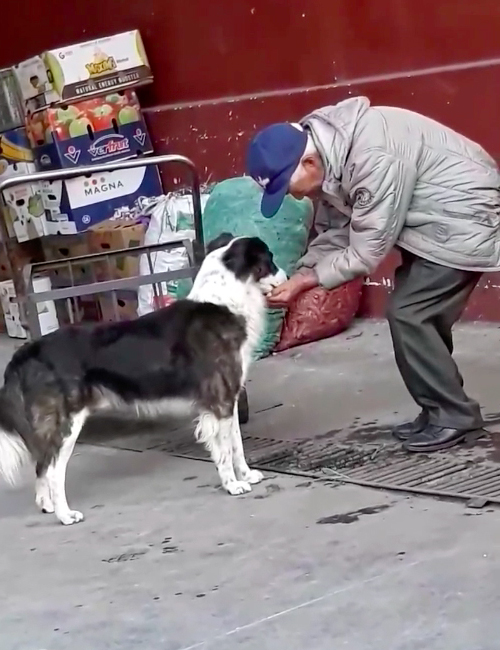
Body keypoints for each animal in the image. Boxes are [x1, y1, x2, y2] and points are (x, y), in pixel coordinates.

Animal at [0, 233, 286, 520]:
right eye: (270, 259)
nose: (285, 276)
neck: (225, 302)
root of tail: (29, 349)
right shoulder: (220, 402)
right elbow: (226, 450)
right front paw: (233, 485)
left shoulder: (228, 401)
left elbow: (237, 444)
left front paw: (246, 475)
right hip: (66, 424)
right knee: (53, 471)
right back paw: (65, 514)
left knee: (41, 464)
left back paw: (46, 504)